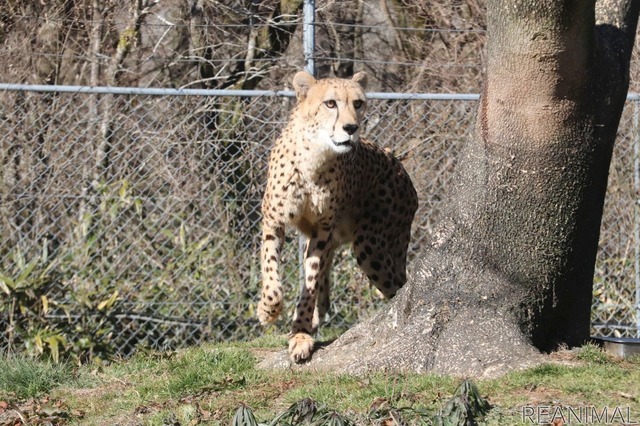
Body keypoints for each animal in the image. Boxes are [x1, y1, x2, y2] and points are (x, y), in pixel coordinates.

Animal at [258, 70, 418, 362]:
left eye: (358, 103)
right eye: (330, 103)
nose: (351, 128)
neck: (315, 155)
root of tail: (401, 167)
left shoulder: (322, 229)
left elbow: (310, 281)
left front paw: (300, 333)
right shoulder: (274, 221)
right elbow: (271, 269)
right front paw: (269, 310)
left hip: (371, 246)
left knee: (398, 286)